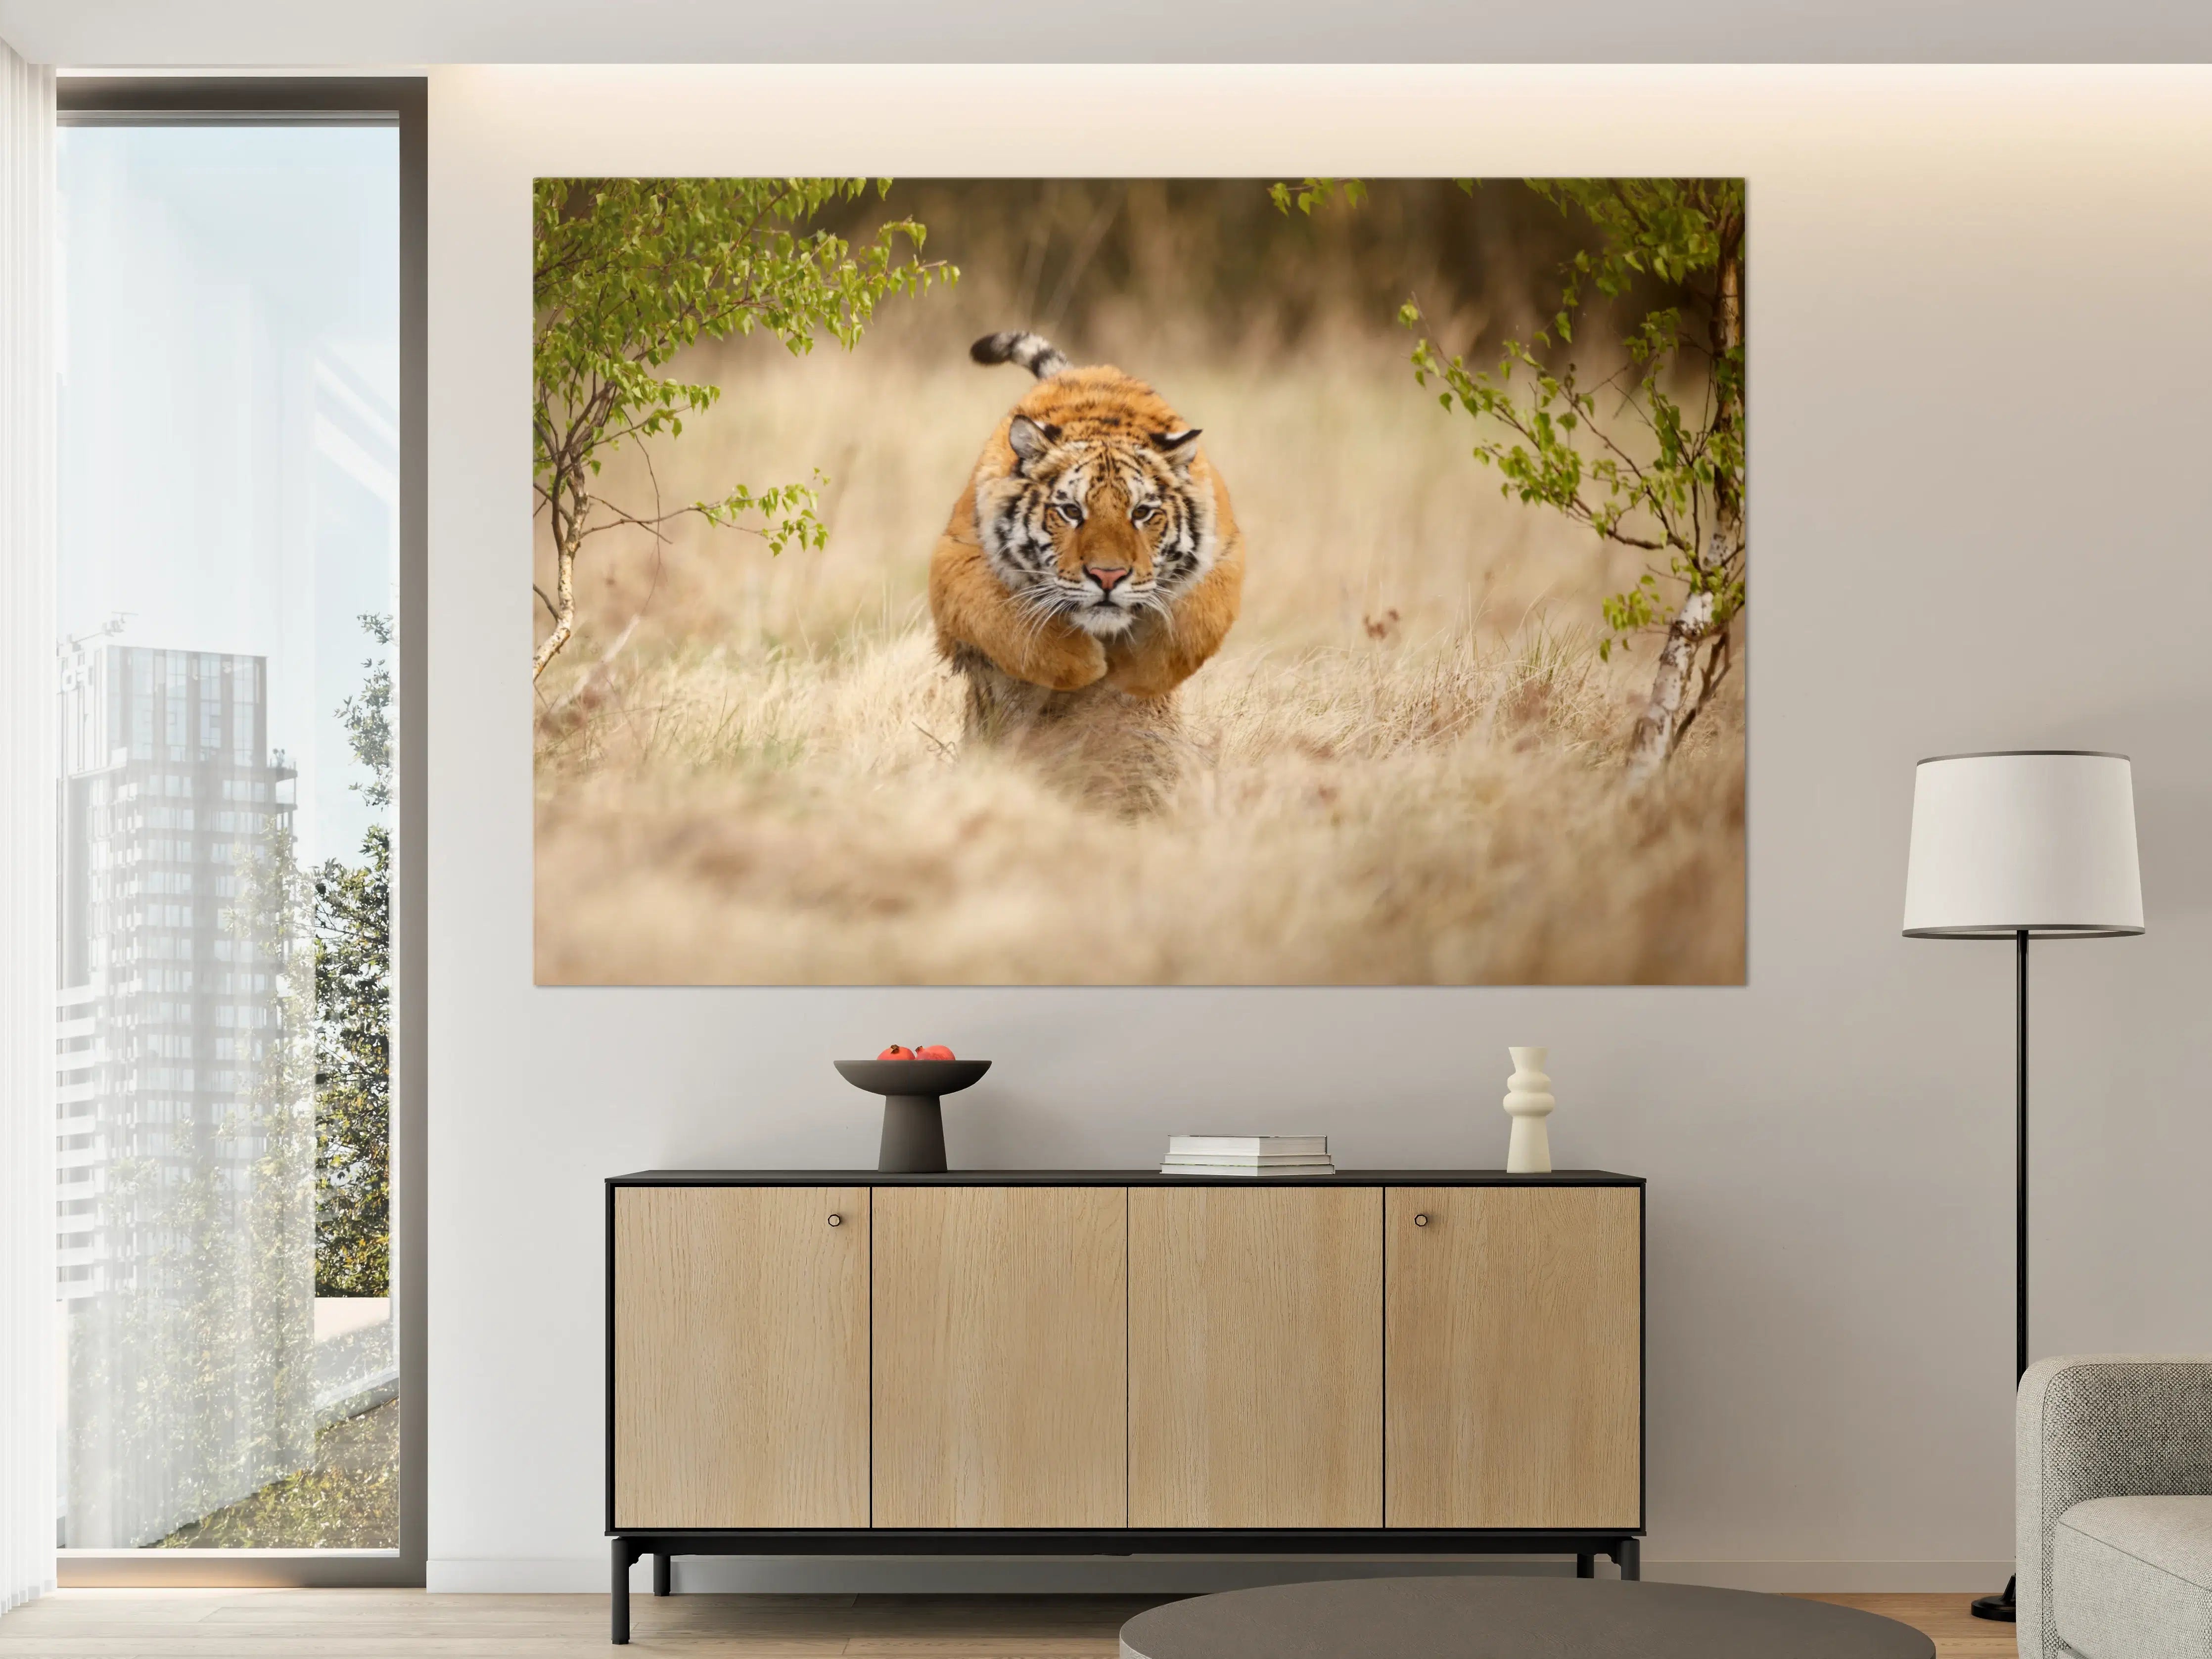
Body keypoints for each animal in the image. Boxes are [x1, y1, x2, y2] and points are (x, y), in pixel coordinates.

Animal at [927, 331, 1245, 727]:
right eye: (1071, 511)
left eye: (1142, 512)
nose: (1108, 577)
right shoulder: (958, 558)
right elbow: (1005, 623)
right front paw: (1086, 665)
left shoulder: (1225, 555)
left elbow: (1192, 628)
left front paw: (1134, 674)